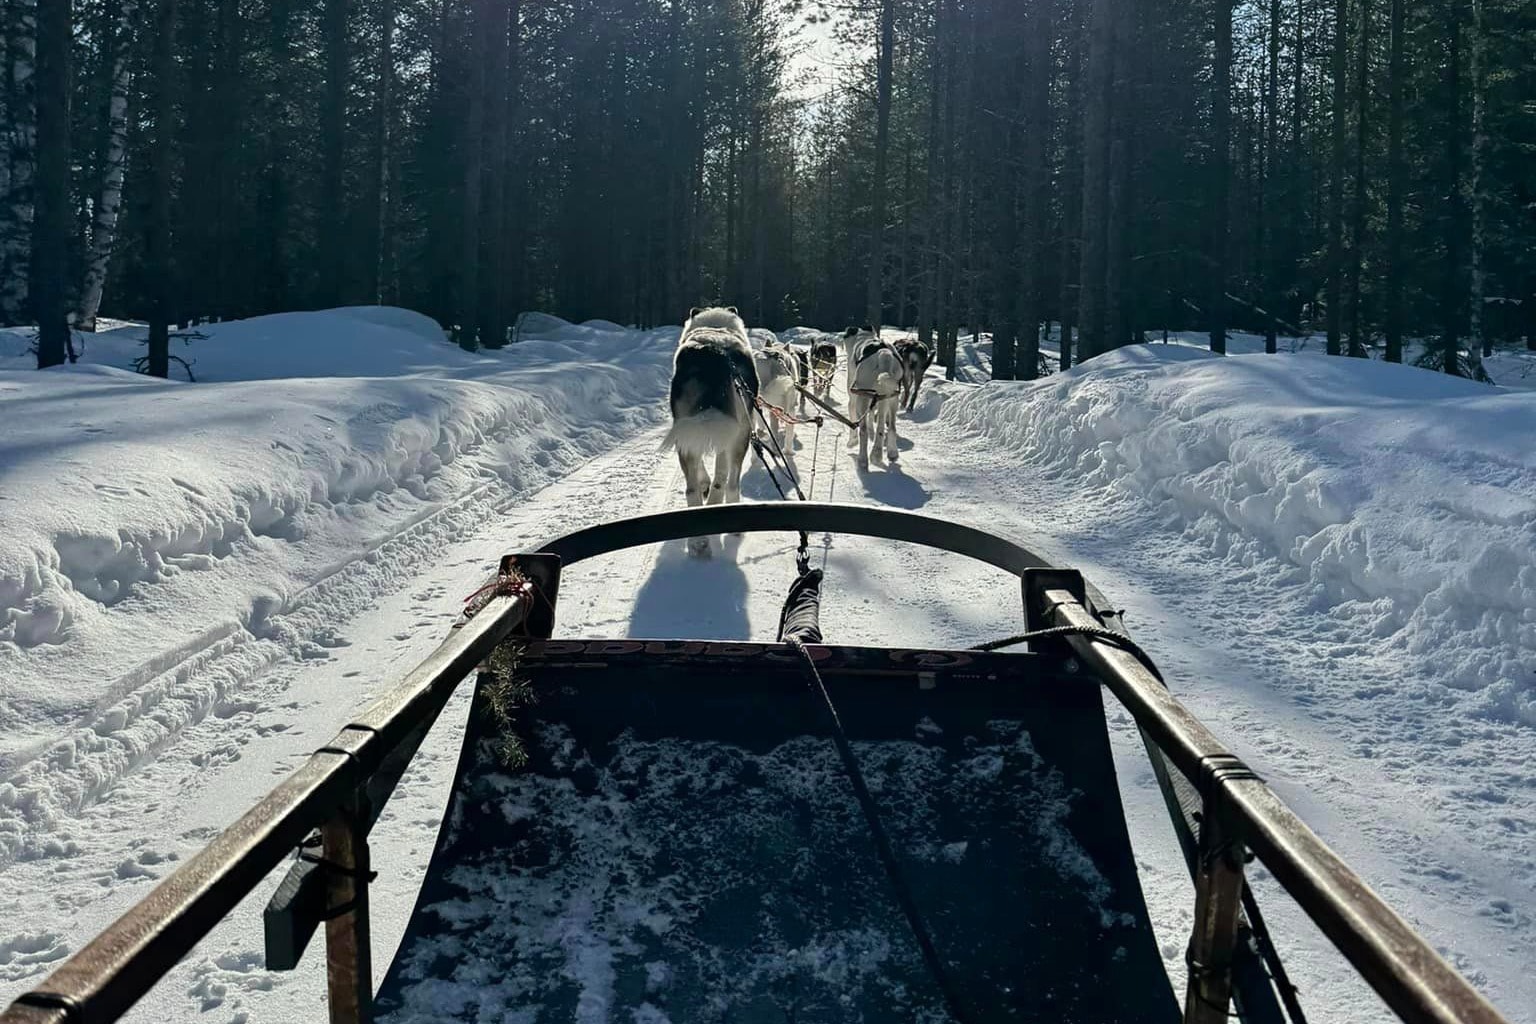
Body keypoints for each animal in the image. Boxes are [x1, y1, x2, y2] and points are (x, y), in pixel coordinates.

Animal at [663, 307, 758, 555]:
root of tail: (715, 354)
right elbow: (719, 475)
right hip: (739, 434)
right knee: (730, 482)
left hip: (691, 432)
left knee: (693, 489)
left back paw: (698, 541)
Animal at [841, 327, 897, 469]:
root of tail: (883, 355)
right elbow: (872, 417)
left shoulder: (854, 399)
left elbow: (853, 418)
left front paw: (852, 441)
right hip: (890, 397)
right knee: (887, 427)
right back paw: (885, 453)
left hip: (862, 398)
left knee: (863, 431)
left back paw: (862, 460)